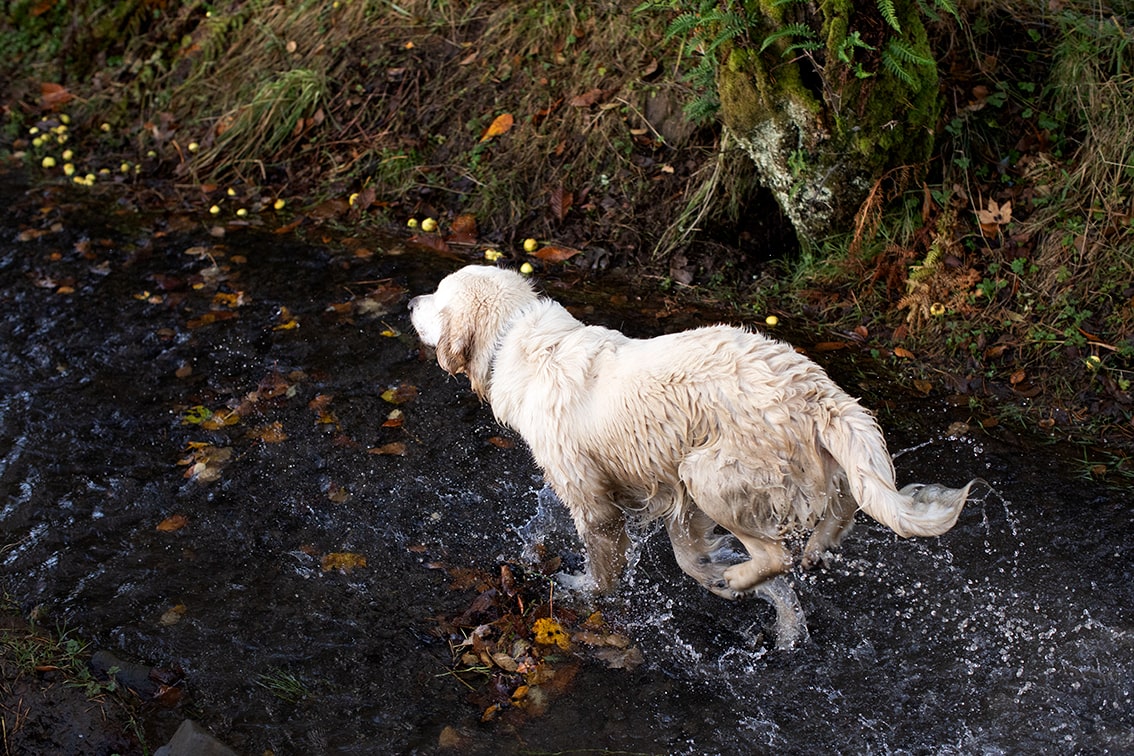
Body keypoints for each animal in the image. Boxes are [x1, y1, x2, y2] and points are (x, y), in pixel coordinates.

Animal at [412, 266, 970, 639]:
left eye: (437, 296)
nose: (412, 301)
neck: (517, 336)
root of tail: (813, 389)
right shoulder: (671, 496)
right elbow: (687, 555)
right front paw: (730, 584)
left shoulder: (591, 496)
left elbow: (604, 562)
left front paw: (582, 586)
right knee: (847, 503)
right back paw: (814, 549)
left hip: (708, 470)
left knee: (777, 553)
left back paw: (750, 571)